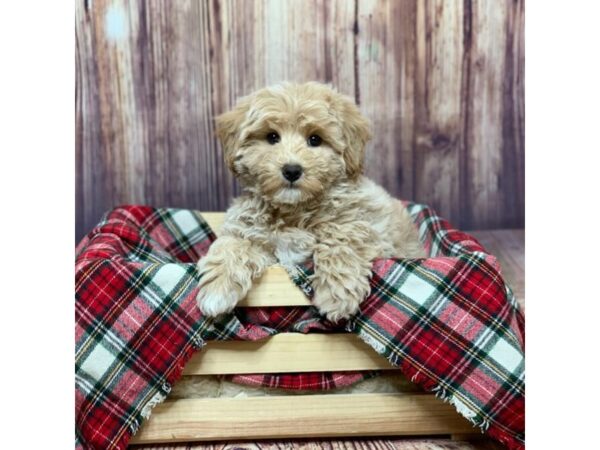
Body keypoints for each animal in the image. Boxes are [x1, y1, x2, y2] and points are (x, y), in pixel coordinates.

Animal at [197, 82, 426, 322]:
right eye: (272, 137)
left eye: (315, 139)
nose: (291, 170)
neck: (294, 209)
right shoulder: (251, 232)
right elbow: (232, 245)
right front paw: (217, 289)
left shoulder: (366, 226)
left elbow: (341, 239)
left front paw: (337, 294)